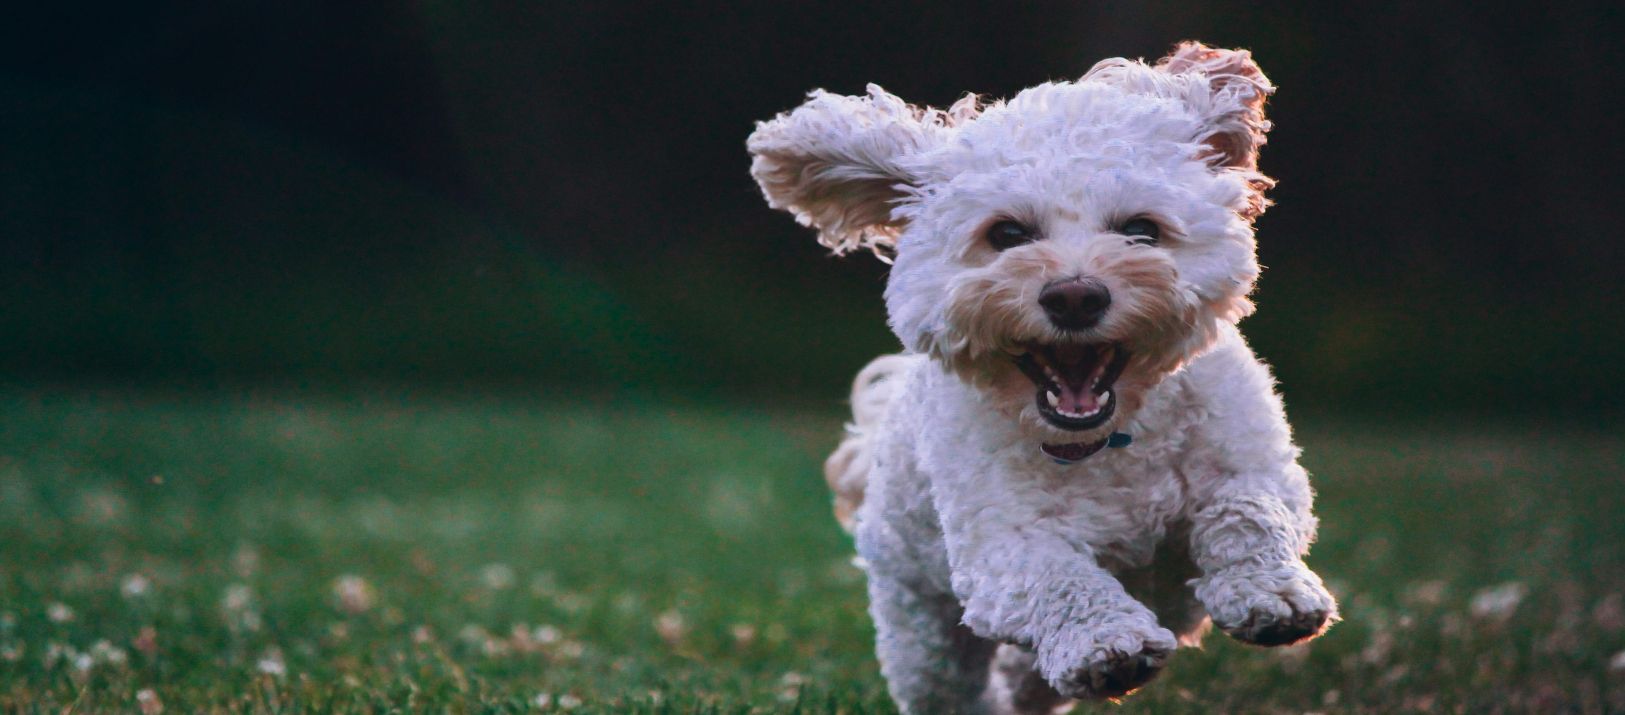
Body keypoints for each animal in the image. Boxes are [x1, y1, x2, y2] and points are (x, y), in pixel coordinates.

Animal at [747, 41, 1332, 711]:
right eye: (1006, 234)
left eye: (1141, 230)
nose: (1076, 296)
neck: (1108, 441)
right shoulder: (1003, 544)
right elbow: (1059, 579)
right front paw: (1106, 645)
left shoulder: (1251, 460)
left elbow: (1250, 511)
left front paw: (1272, 594)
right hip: (919, 622)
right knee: (949, 681)